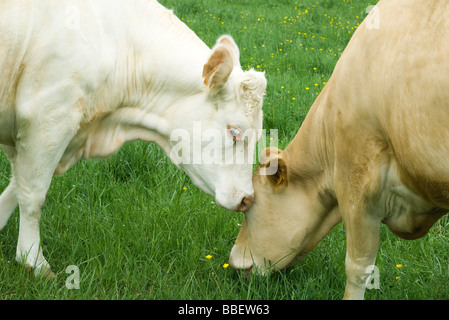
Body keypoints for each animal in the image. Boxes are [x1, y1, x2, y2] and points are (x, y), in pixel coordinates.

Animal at [0, 0, 266, 278]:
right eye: (234, 131)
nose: (248, 199)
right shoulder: (48, 119)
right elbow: (33, 195)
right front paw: (33, 261)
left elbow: (17, 186)